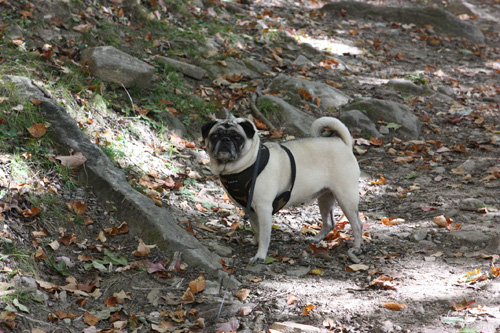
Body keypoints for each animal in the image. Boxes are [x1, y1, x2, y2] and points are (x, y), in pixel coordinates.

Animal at [201, 116, 362, 262]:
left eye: (237, 137)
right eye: (215, 136)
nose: (225, 140)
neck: (247, 164)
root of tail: (343, 143)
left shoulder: (264, 209)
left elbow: (265, 235)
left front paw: (260, 255)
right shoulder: (250, 209)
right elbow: (256, 229)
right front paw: (255, 242)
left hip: (345, 198)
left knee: (357, 224)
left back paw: (357, 248)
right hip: (325, 197)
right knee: (329, 222)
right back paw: (316, 240)